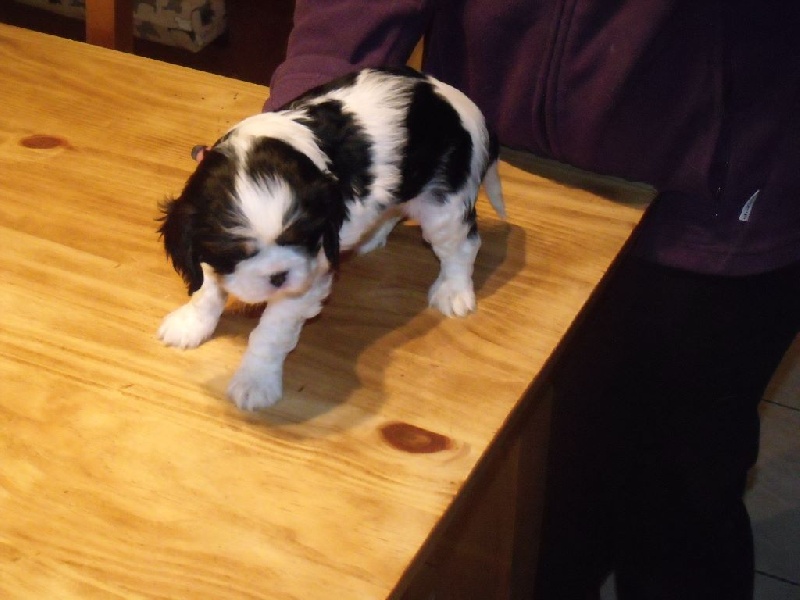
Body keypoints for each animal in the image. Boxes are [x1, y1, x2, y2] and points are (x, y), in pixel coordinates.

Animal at [158, 67, 505, 410]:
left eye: (304, 237)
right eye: (236, 253)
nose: (278, 275)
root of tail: (462, 105)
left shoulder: (309, 276)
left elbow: (271, 331)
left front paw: (255, 381)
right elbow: (207, 290)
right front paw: (191, 324)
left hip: (443, 204)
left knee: (462, 246)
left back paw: (454, 291)